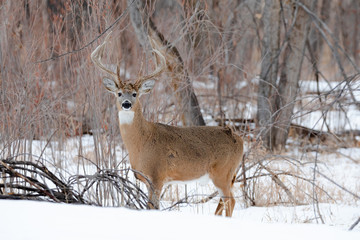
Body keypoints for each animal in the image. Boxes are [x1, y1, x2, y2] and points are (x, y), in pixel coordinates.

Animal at [92, 32, 245, 217]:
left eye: (135, 94)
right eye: (119, 93)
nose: (126, 104)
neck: (141, 142)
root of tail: (239, 138)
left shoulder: (157, 175)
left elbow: (152, 207)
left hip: (223, 172)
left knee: (231, 201)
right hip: (228, 175)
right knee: (223, 202)